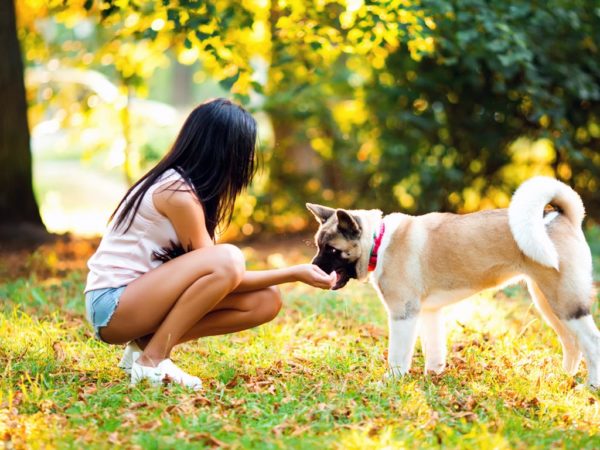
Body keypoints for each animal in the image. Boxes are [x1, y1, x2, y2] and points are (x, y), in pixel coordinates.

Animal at [310, 176, 600, 386]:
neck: (378, 242)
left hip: (566, 302)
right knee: (572, 342)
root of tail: (562, 217)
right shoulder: (429, 312)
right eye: (318, 245)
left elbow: (398, 355)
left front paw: (391, 381)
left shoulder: (403, 314)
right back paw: (562, 378)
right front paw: (433, 377)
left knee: (591, 341)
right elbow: (434, 349)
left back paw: (591, 386)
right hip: (550, 303)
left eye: (332, 250)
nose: (312, 268)